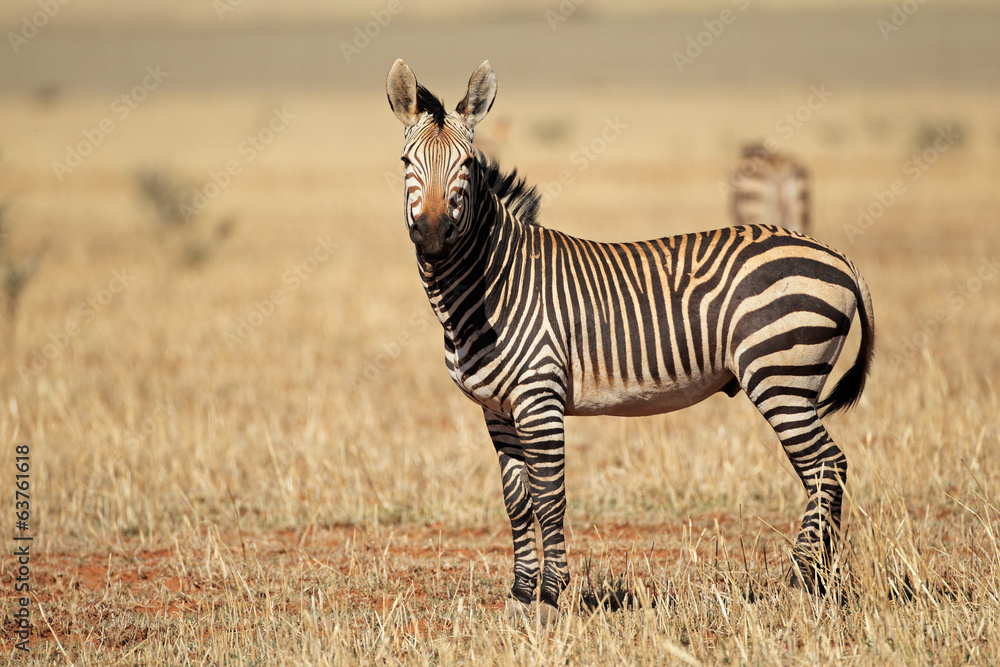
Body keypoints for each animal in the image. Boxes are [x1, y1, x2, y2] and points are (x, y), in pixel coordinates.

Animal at [386, 59, 875, 619]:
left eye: (467, 163)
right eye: (405, 160)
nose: (433, 236)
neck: (493, 285)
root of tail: (836, 255)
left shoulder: (539, 397)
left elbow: (549, 498)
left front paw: (550, 598)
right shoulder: (497, 410)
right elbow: (517, 502)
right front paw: (520, 597)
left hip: (782, 376)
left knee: (827, 467)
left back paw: (803, 583)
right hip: (790, 379)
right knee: (823, 470)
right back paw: (816, 582)